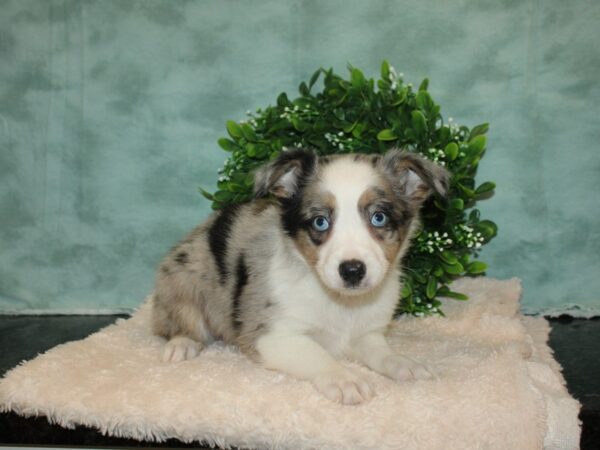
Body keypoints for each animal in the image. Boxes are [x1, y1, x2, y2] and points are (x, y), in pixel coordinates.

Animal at [152, 148, 448, 404]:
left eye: (379, 217)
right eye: (320, 222)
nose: (352, 270)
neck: (342, 302)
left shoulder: (366, 332)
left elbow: (381, 353)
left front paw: (403, 363)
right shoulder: (274, 336)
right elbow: (316, 354)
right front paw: (344, 378)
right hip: (181, 280)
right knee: (178, 322)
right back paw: (182, 344)